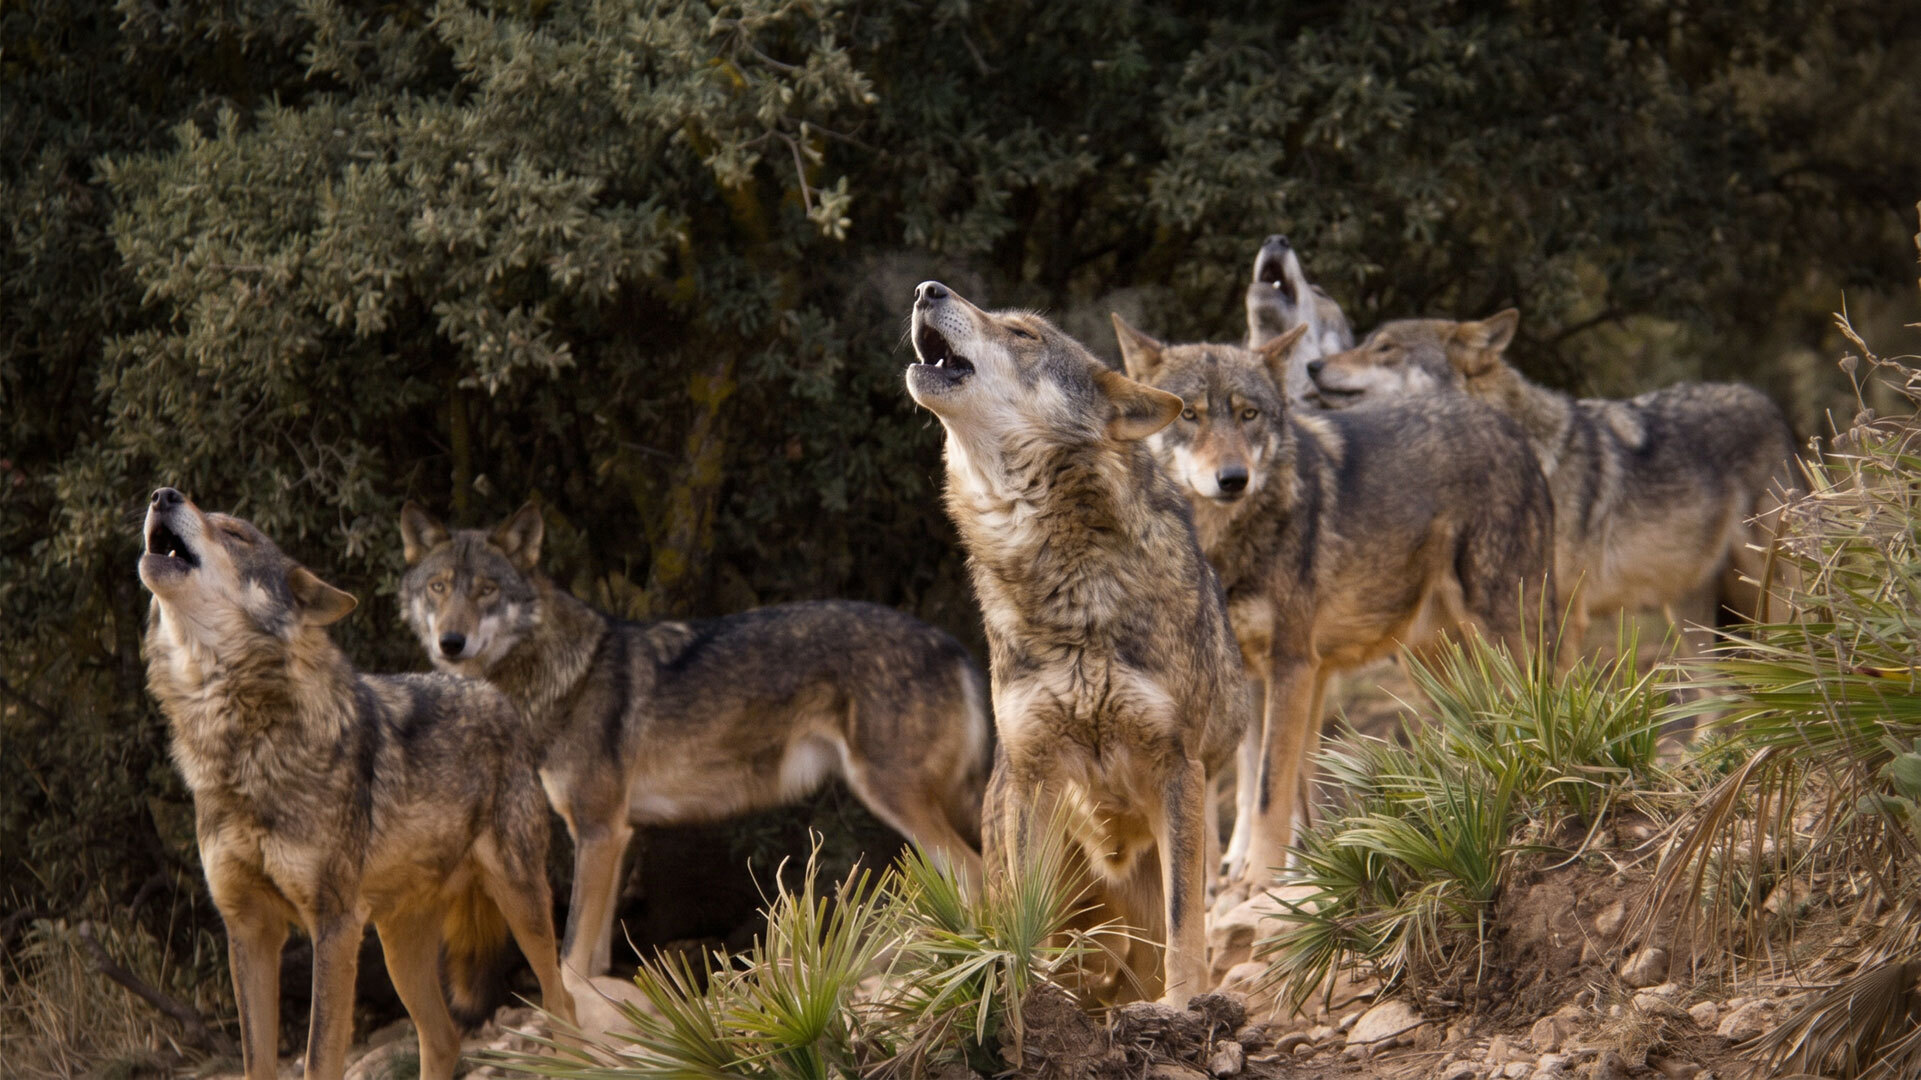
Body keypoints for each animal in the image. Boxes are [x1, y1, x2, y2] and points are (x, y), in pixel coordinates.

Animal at [137, 488, 574, 1080]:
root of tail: (491, 692)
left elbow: (321, 1056)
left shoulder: (334, 926)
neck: (238, 743)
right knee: (442, 1038)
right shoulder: (249, 929)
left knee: (562, 1002)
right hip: (397, 946)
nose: (163, 494)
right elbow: (256, 1062)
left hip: (520, 899)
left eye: (235, 534)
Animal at [398, 504, 989, 977]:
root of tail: (953, 645)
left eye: (486, 590)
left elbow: (569, 959)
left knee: (977, 871)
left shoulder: (599, 831)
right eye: (438, 587)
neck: (564, 674)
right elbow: (593, 962)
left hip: (891, 794)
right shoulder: (613, 837)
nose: (451, 642)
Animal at [903, 280, 1248, 1005]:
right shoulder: (1035, 775)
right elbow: (1024, 922)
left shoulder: (1179, 768)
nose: (925, 289)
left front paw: (1184, 1005)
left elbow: (1185, 921)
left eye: (1022, 333)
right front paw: (1024, 996)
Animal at [1112, 318, 1557, 888]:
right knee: (1475, 726)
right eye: (1190, 414)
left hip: (1503, 635)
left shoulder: (1293, 664)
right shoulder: (1243, 675)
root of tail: (1509, 428)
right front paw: (1235, 880)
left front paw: (1262, 878)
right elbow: (1245, 783)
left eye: (1248, 414)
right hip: (1433, 666)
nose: (1233, 479)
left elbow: (1269, 788)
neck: (1223, 546)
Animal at [1304, 311, 1799, 654]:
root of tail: (1767, 402)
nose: (1312, 365)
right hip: (1689, 610)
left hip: (1770, 590)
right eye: (1366, 342)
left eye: (1385, 348)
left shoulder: (1555, 615)